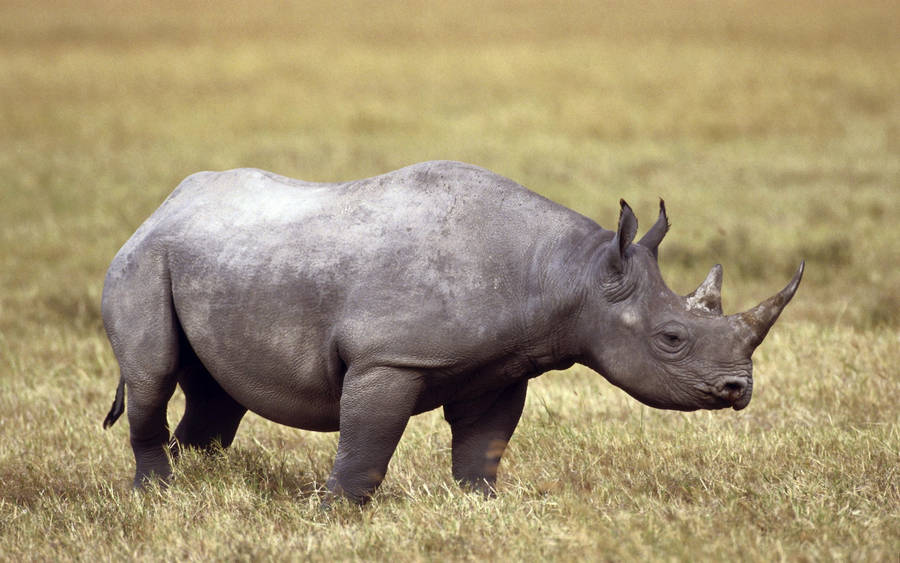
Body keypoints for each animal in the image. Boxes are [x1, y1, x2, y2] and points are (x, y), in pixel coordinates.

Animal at [101, 160, 803, 502]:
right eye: (671, 340)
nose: (738, 390)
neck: (569, 274)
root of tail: (159, 209)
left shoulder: (506, 364)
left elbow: (484, 445)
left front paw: (483, 508)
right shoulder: (389, 356)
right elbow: (367, 444)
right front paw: (335, 514)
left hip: (219, 260)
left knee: (216, 395)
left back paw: (199, 483)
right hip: (142, 261)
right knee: (153, 376)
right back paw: (157, 497)